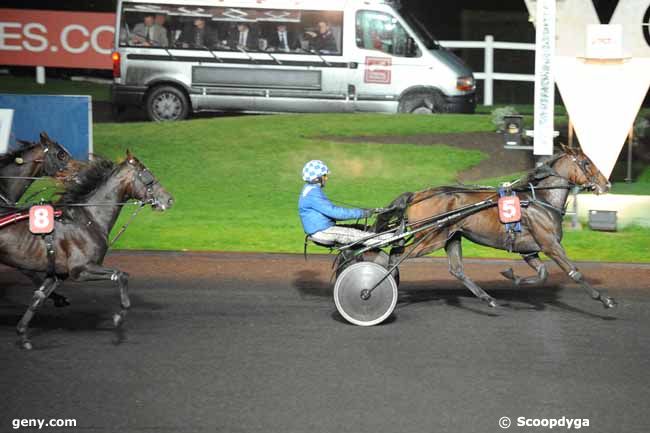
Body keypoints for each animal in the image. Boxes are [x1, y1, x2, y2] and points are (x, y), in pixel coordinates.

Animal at [0, 150, 173, 350]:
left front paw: (23, 335)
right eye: (148, 176)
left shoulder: (58, 274)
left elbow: (38, 298)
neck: (88, 219)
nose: (169, 199)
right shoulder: (80, 270)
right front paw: (118, 318)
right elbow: (121, 275)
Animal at [372, 147, 616, 308]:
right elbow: (575, 273)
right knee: (397, 253)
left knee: (456, 269)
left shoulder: (530, 250)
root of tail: (417, 195)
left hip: (451, 236)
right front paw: (605, 299)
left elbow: (543, 273)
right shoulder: (551, 245)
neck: (541, 200)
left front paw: (512, 276)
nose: (606, 184)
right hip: (431, 238)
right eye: (586, 162)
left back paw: (487, 298)